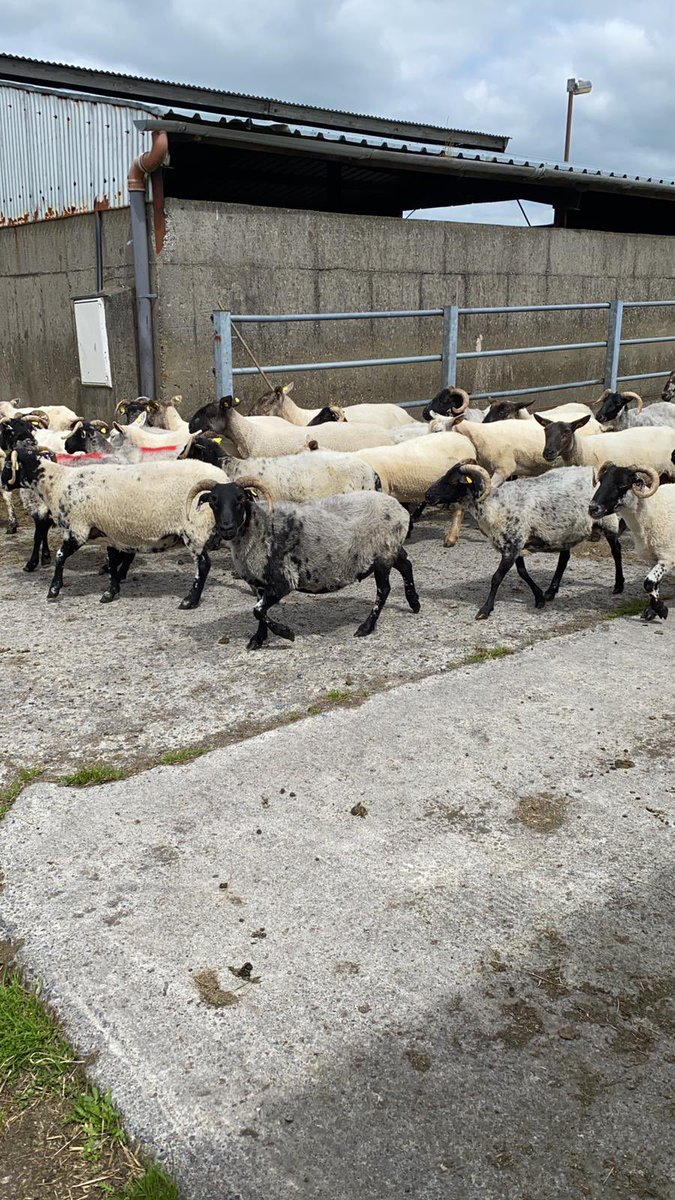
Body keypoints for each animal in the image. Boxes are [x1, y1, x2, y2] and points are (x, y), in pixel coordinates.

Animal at [0, 446, 229, 607]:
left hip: (195, 529)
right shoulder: (109, 533)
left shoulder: (77, 528)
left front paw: (54, 590)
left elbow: (60, 556)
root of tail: (223, 479)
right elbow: (111, 563)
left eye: (7, 466)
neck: (56, 483)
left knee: (203, 565)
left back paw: (190, 600)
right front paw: (111, 591)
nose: (2, 484)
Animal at [188, 478, 421, 647]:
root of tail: (400, 509)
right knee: (406, 564)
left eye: (240, 499)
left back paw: (366, 627)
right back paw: (414, 603)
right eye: (213, 501)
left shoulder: (283, 582)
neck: (258, 527)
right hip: (390, 550)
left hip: (383, 554)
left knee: (384, 589)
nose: (226, 527)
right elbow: (259, 611)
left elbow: (258, 610)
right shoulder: (258, 583)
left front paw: (286, 633)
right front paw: (258, 639)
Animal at [426, 461, 623, 620]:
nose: (428, 495)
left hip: (608, 521)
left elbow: (496, 578)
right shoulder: (515, 544)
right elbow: (522, 572)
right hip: (567, 531)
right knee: (564, 559)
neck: (493, 505)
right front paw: (539, 598)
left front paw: (485, 610)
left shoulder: (512, 545)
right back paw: (551, 591)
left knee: (616, 550)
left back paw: (618, 586)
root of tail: (593, 471)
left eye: (453, 481)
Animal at [589, 460, 675, 620]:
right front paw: (652, 610)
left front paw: (660, 609)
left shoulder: (668, 557)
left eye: (623, 485)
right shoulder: (653, 558)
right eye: (602, 481)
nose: (593, 508)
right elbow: (654, 584)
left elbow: (648, 583)